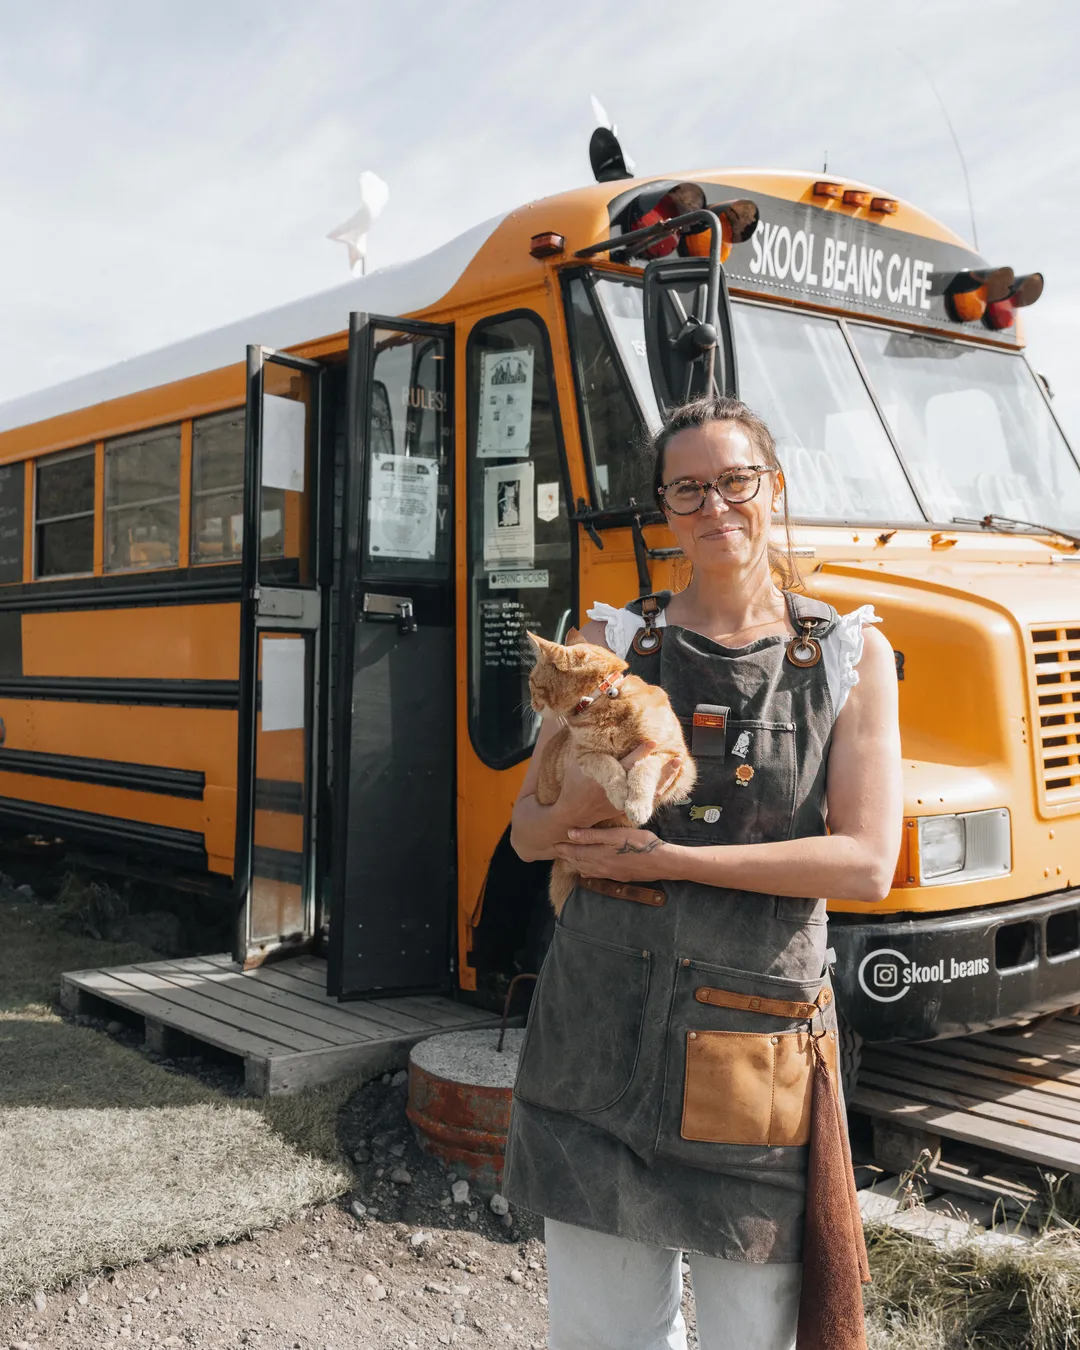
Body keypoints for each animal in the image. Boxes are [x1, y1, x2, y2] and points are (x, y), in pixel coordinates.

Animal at [526, 629, 696, 907]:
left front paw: (637, 805)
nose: (531, 704)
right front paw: (619, 794)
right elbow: (608, 765)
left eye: (532, 681)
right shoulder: (584, 756)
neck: (604, 699)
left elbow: (643, 768)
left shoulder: (676, 759)